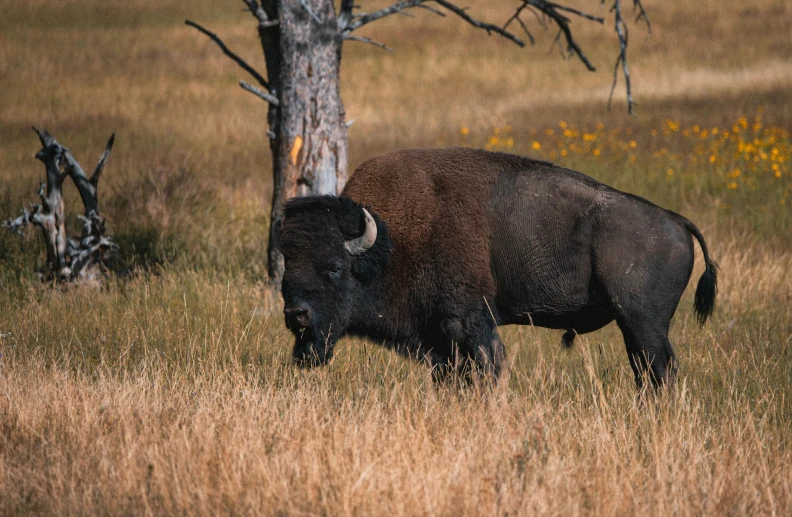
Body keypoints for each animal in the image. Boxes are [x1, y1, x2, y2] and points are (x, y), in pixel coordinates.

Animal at [278, 146, 716, 388]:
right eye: (286, 264)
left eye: (333, 267)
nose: (296, 314)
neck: (388, 243)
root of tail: (676, 221)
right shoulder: (440, 342)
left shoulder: (469, 325)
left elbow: (487, 371)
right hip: (637, 328)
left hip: (642, 323)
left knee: (658, 370)